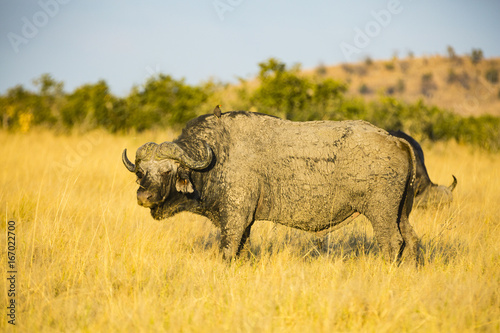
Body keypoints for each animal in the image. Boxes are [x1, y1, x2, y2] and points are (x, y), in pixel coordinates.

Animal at [123, 111, 420, 262]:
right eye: (142, 172)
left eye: (167, 170)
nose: (144, 196)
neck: (218, 155)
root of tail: (396, 140)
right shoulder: (245, 223)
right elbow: (241, 251)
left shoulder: (235, 219)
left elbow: (227, 250)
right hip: (401, 214)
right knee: (411, 240)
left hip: (381, 213)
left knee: (392, 243)